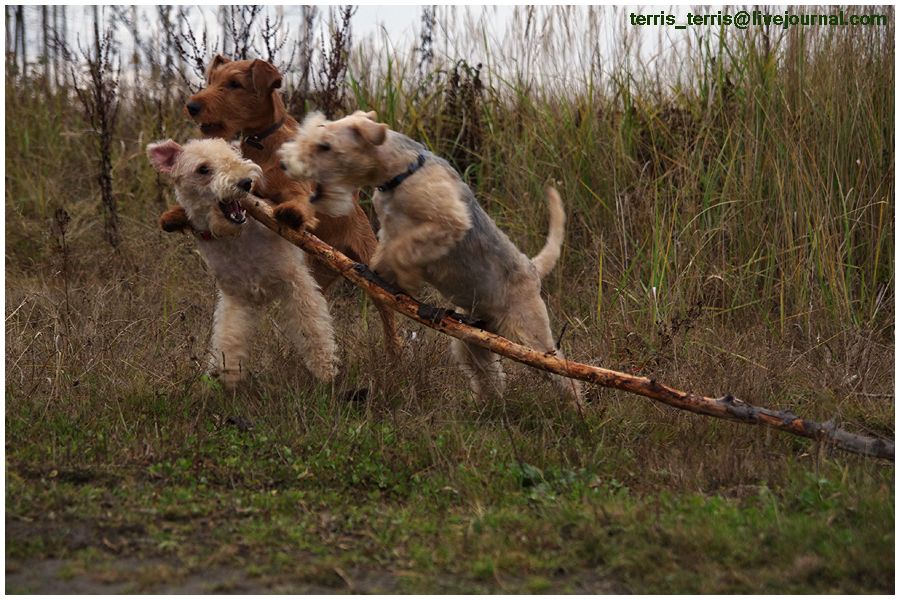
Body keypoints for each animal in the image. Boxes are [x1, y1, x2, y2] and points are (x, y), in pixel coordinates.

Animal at [148, 138, 339, 388]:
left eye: (234, 156)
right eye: (203, 169)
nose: (246, 182)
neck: (236, 237)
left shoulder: (294, 280)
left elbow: (313, 328)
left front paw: (326, 373)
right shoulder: (237, 296)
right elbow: (228, 338)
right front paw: (224, 378)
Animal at [158, 55, 401, 357]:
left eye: (234, 84)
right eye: (211, 81)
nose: (192, 106)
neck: (261, 143)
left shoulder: (296, 188)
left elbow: (294, 201)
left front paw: (291, 213)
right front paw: (174, 215)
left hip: (369, 268)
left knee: (388, 315)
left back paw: (394, 355)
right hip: (316, 273)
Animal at [279, 111, 584, 409]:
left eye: (325, 146)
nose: (284, 162)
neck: (402, 173)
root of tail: (532, 268)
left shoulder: (446, 222)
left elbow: (403, 251)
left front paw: (404, 282)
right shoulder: (389, 230)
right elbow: (386, 254)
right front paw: (377, 276)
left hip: (528, 334)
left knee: (563, 374)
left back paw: (577, 411)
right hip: (471, 343)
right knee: (491, 377)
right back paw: (484, 407)